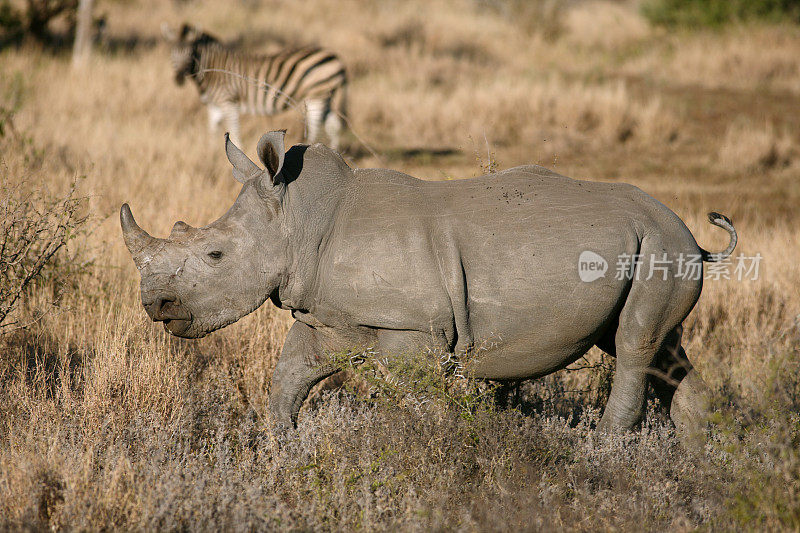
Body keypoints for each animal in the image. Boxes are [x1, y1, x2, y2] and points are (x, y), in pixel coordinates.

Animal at [120, 131, 736, 438]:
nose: (156, 306)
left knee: (633, 346)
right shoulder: (327, 317)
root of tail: (689, 232)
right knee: (660, 347)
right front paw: (286, 448)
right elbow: (288, 379)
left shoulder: (413, 328)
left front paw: (430, 453)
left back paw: (604, 454)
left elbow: (419, 401)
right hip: (656, 247)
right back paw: (701, 455)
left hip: (660, 244)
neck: (297, 219)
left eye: (214, 255)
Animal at [162, 23, 346, 150]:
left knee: (315, 129)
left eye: (191, 53)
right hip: (328, 97)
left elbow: (234, 131)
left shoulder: (228, 102)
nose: (178, 79)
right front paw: (212, 152)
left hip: (317, 96)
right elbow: (213, 131)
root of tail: (335, 56)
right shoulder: (214, 106)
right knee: (334, 127)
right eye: (172, 52)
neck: (211, 69)